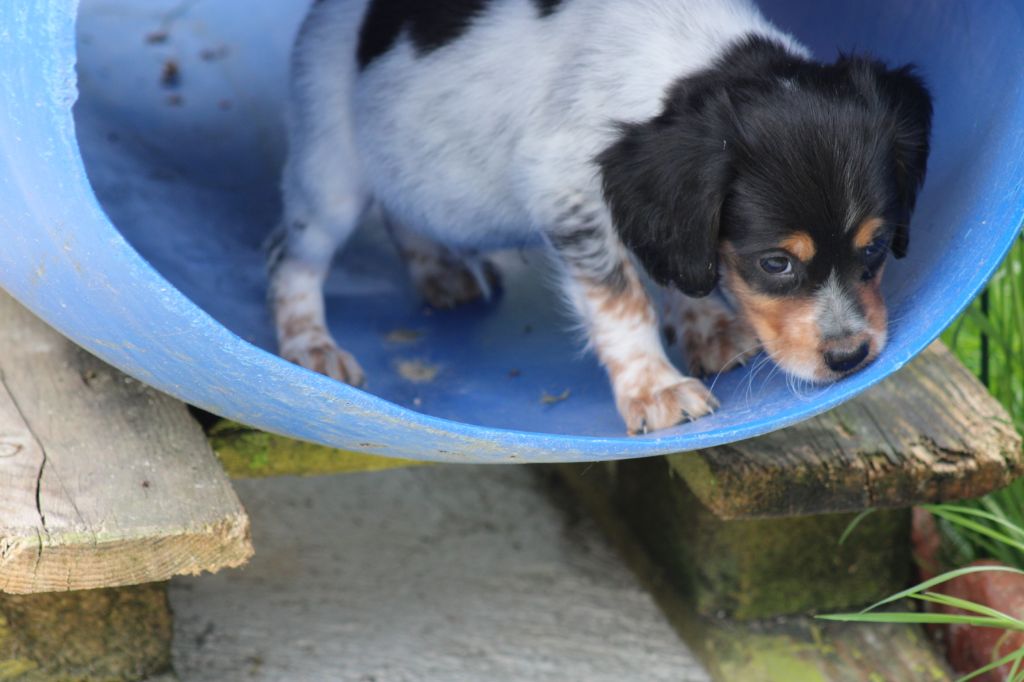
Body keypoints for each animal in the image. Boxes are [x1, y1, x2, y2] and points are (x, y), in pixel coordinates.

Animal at [268, 0, 933, 432]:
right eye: (775, 264)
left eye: (876, 247)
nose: (850, 358)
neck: (694, 60)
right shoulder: (568, 194)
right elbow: (623, 300)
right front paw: (656, 388)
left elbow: (671, 265)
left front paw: (709, 328)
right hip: (329, 173)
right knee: (290, 260)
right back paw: (310, 345)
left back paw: (438, 272)